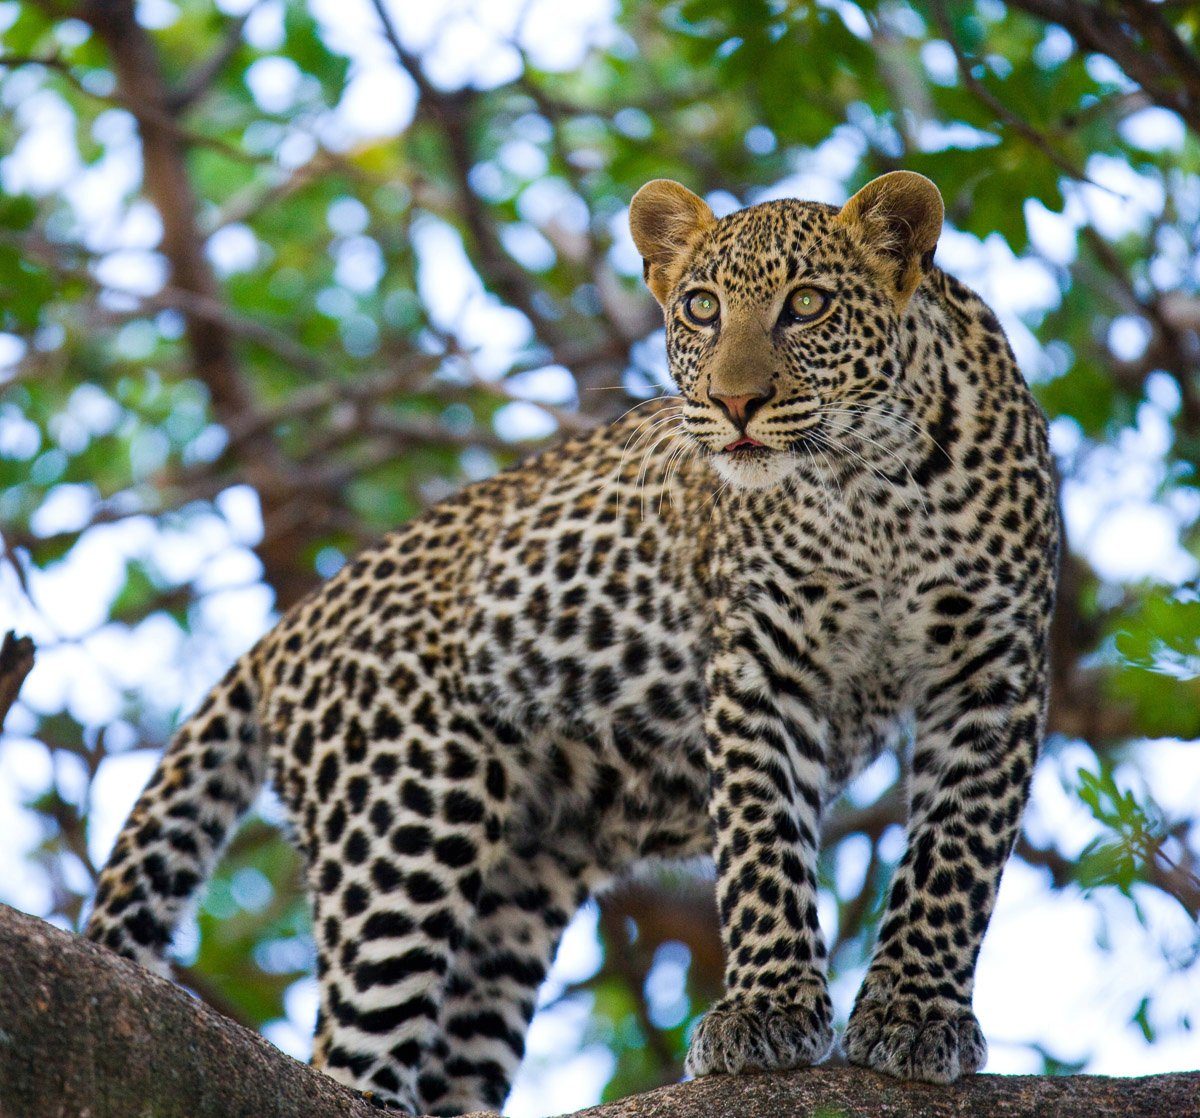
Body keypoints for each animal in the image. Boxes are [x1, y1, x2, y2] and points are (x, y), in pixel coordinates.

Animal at [87, 170, 1060, 1113]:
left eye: (809, 304)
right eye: (701, 308)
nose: (734, 402)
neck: (873, 487)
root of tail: (284, 634)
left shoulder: (994, 670)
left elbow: (956, 856)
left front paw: (914, 1014)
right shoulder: (762, 664)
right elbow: (764, 843)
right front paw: (766, 1012)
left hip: (515, 897)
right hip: (404, 824)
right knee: (349, 1049)